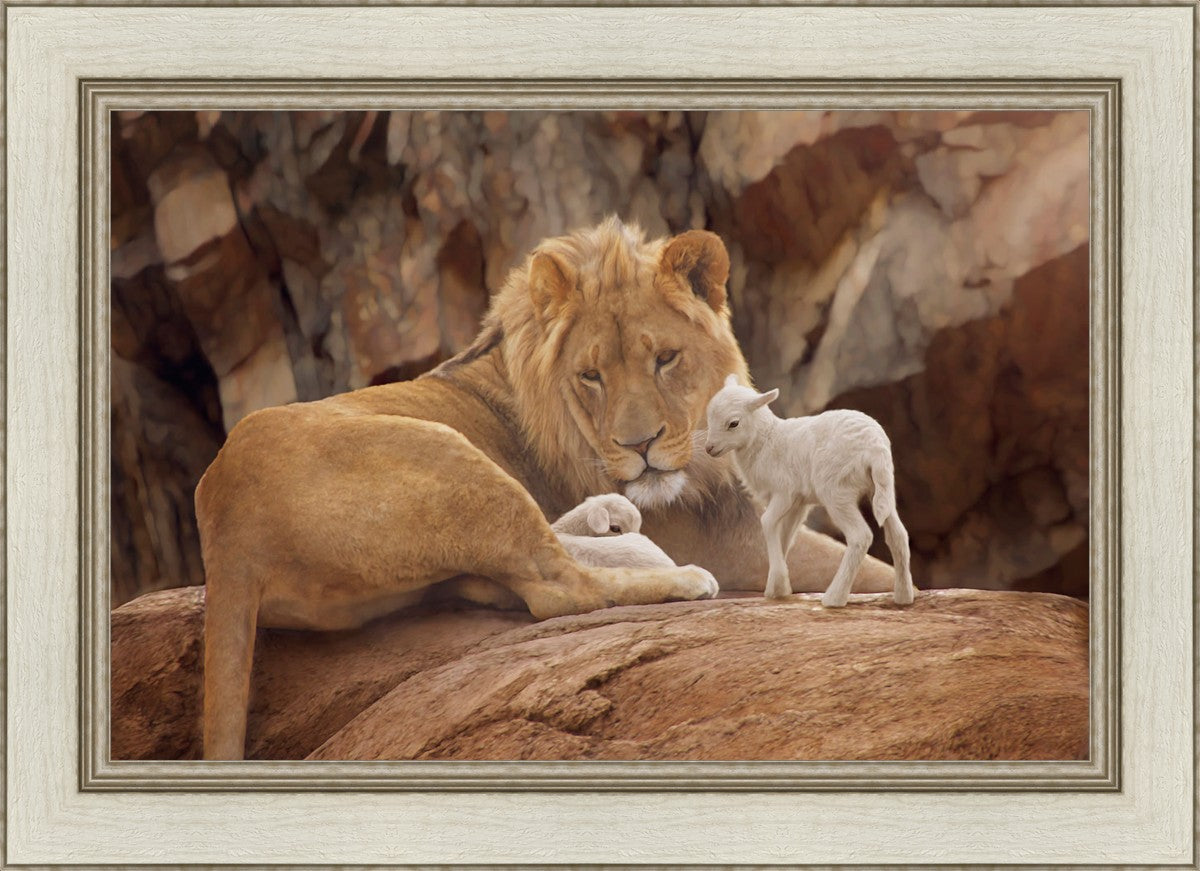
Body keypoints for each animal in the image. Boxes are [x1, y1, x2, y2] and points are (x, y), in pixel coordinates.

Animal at [195, 217, 894, 759]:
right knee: (556, 587)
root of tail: (225, 527)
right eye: (591, 375)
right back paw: (677, 576)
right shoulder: (733, 544)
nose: (640, 446)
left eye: (665, 358)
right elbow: (868, 565)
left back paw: (610, 522)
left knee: (515, 572)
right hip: (449, 456)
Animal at [703, 374, 916, 608]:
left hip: (836, 491)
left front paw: (778, 584)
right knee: (898, 535)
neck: (766, 441)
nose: (709, 448)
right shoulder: (798, 503)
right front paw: (777, 587)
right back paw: (903, 596)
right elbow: (785, 535)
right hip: (882, 488)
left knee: (860, 536)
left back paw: (834, 598)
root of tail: (875, 448)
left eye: (733, 423)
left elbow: (767, 522)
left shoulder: (784, 492)